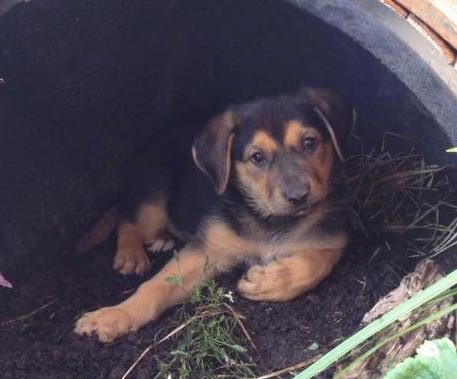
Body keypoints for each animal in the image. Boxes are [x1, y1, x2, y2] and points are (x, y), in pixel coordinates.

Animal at [75, 87, 354, 342]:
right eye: (257, 157)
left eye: (309, 142)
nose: (299, 196)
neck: (269, 220)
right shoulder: (208, 249)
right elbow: (156, 286)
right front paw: (112, 316)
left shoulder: (332, 240)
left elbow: (314, 264)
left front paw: (267, 282)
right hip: (152, 194)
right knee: (127, 219)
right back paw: (131, 254)